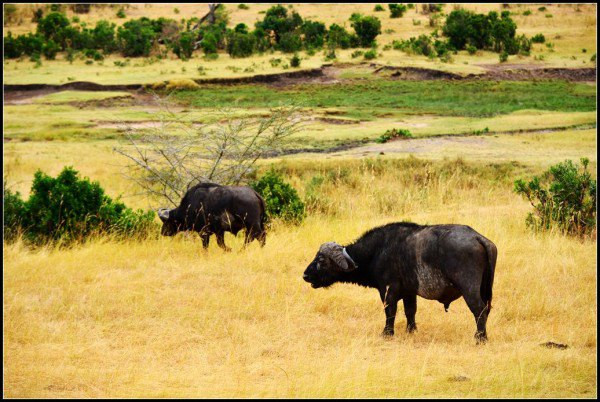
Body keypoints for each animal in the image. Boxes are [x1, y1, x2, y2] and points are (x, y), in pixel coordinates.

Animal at [304, 223, 496, 342]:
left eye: (321, 260)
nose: (305, 275)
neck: (377, 251)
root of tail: (478, 238)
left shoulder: (388, 291)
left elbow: (390, 312)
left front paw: (387, 333)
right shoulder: (409, 293)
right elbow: (410, 311)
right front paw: (411, 331)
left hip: (469, 289)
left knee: (479, 309)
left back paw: (480, 338)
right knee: (486, 310)